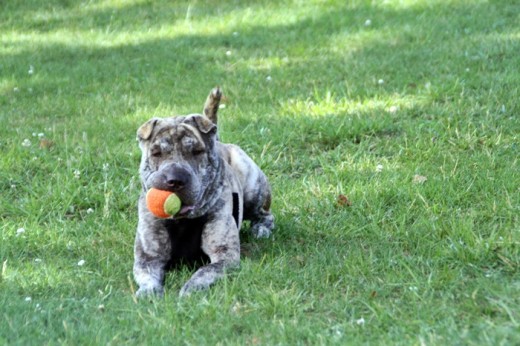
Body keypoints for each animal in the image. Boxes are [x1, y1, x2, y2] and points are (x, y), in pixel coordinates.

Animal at [133, 87, 272, 298]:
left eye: (196, 151)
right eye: (156, 153)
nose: (175, 179)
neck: (182, 222)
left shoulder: (224, 255)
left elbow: (204, 271)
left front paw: (190, 290)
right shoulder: (148, 257)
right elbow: (148, 276)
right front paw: (148, 293)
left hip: (252, 187)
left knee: (265, 214)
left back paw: (262, 229)